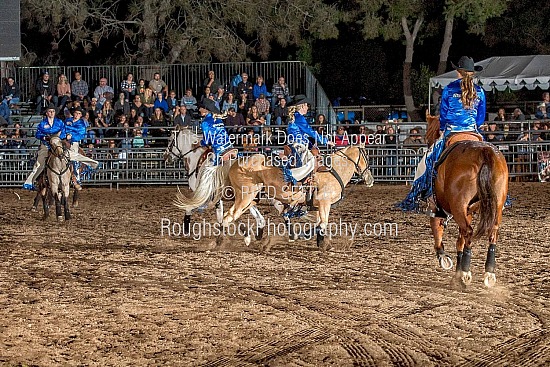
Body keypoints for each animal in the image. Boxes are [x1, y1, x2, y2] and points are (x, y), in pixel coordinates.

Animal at [223, 145, 376, 252]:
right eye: (367, 157)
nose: (370, 179)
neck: (334, 171)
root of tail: (237, 162)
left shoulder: (319, 206)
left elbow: (320, 224)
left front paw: (323, 244)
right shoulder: (324, 203)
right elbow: (322, 224)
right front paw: (302, 236)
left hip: (252, 197)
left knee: (231, 215)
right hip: (245, 196)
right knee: (230, 216)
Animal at [426, 113, 512, 288]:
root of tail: (485, 151)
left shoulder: (437, 207)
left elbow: (438, 232)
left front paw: (444, 258)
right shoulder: (469, 211)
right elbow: (460, 241)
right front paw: (456, 275)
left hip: (458, 206)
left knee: (469, 232)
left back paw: (466, 273)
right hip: (495, 206)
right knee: (491, 232)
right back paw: (489, 274)